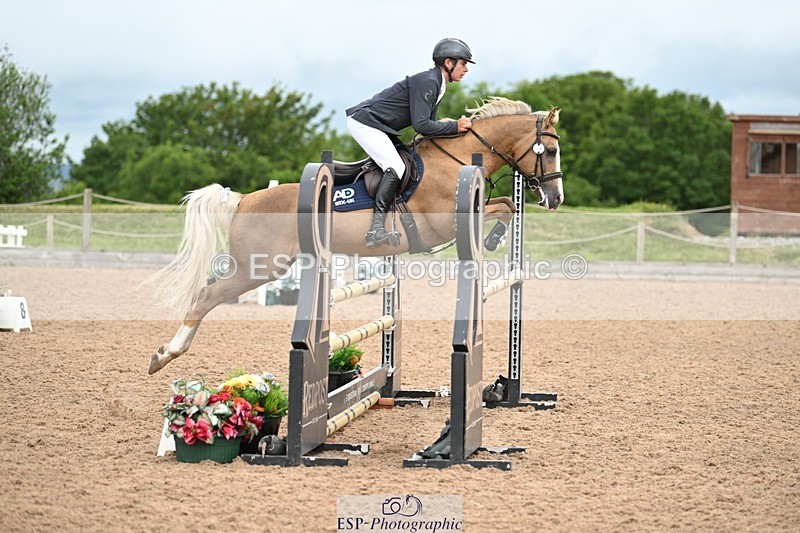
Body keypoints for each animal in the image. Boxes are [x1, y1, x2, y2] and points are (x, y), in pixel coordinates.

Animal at [147, 97, 564, 375]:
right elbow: (504, 208)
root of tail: (244, 199)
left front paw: (495, 238)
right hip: (259, 268)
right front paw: (492, 240)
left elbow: (507, 205)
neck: (457, 160)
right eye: (551, 150)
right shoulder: (444, 223)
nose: (555, 198)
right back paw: (166, 355)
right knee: (206, 296)